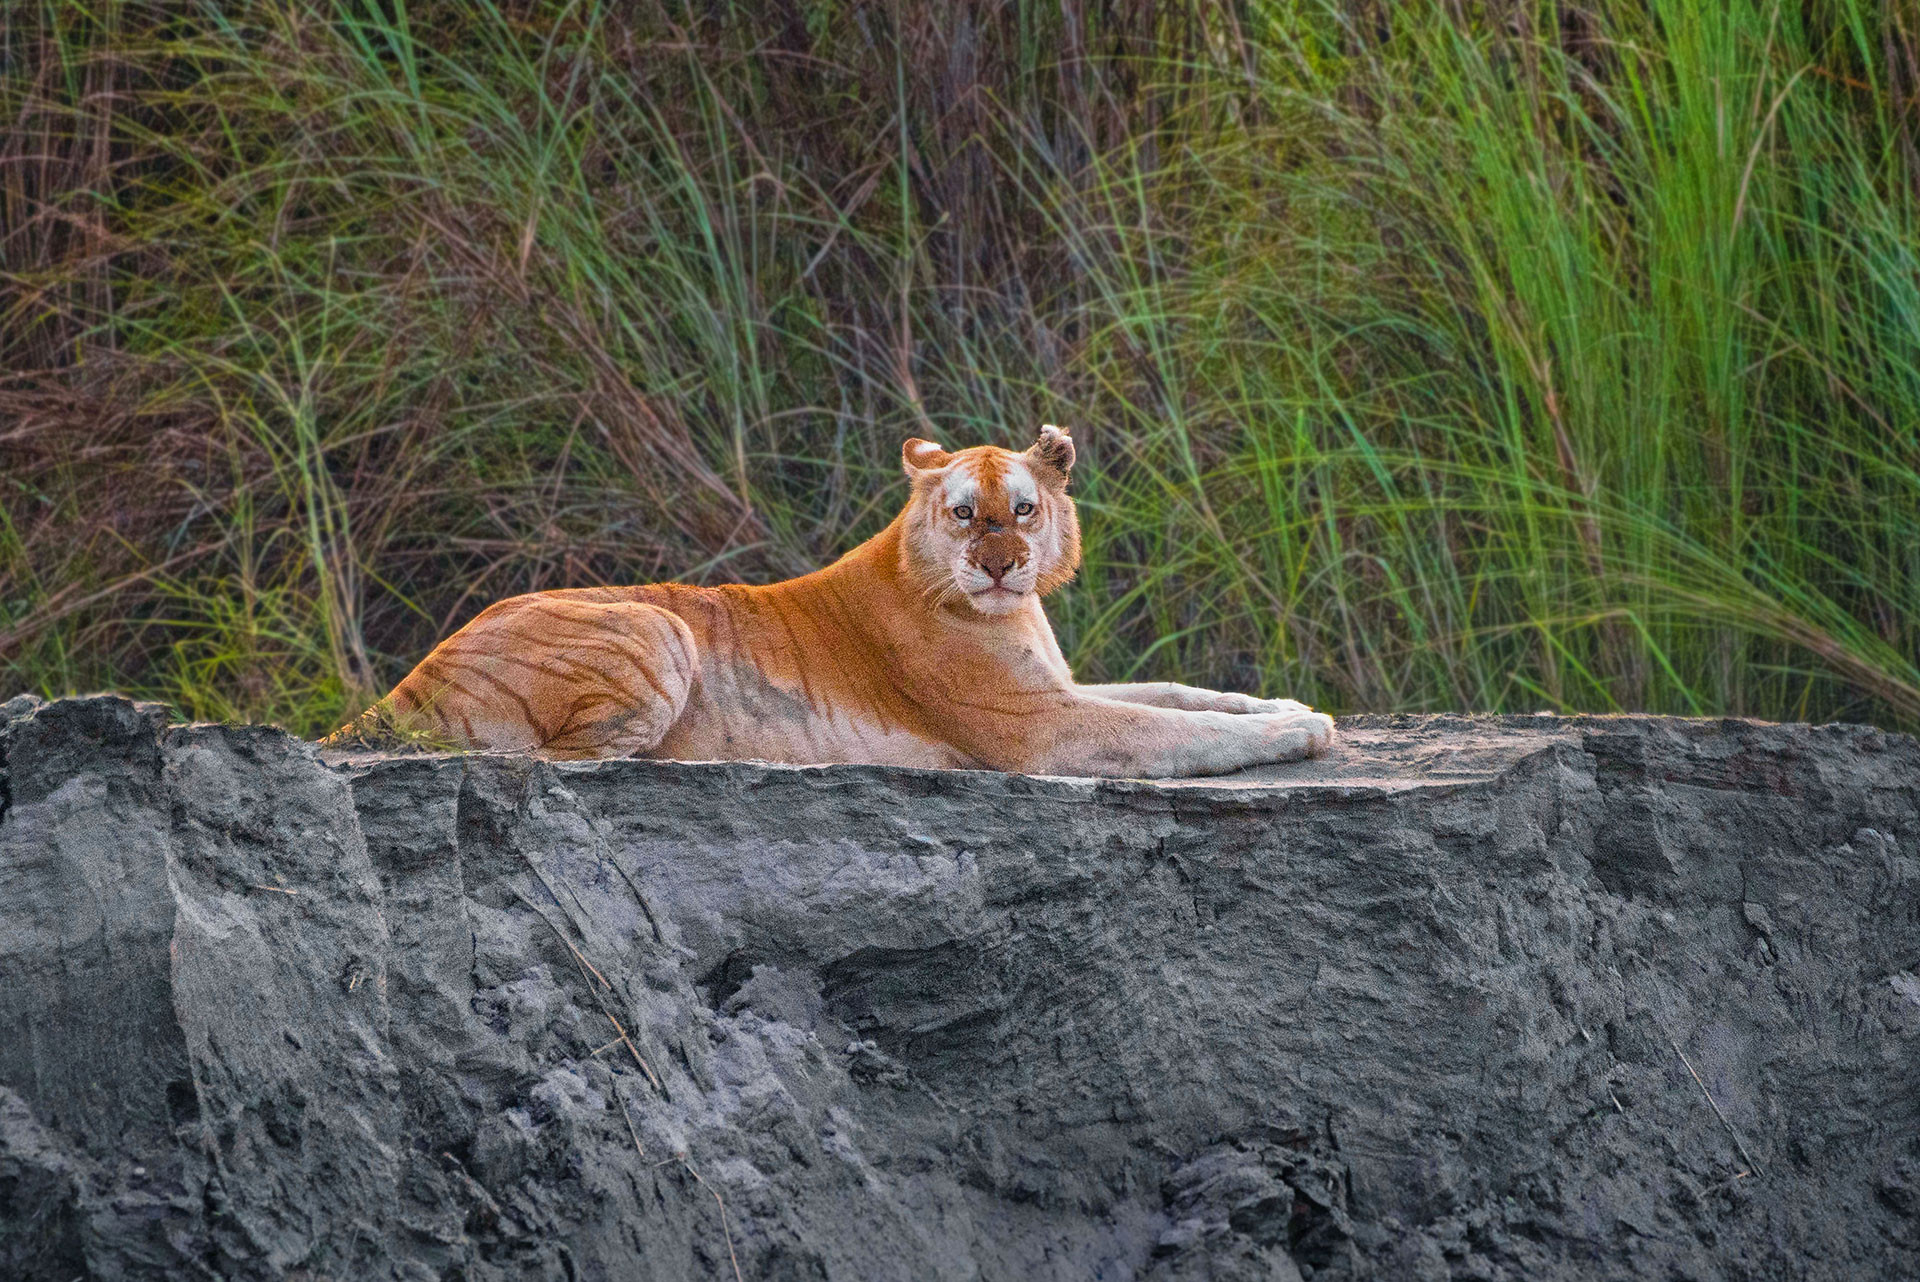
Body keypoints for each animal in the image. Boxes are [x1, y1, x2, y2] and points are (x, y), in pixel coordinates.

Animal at [323, 425, 1334, 777]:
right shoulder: (1040, 728)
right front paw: (1296, 732)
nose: (1000, 567)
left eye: (1024, 509)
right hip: (659, 626)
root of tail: (402, 684)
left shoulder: (1058, 687)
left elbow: (1181, 694)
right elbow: (1176, 731)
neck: (1010, 613)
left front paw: (1289, 706)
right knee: (562, 763)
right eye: (963, 513)